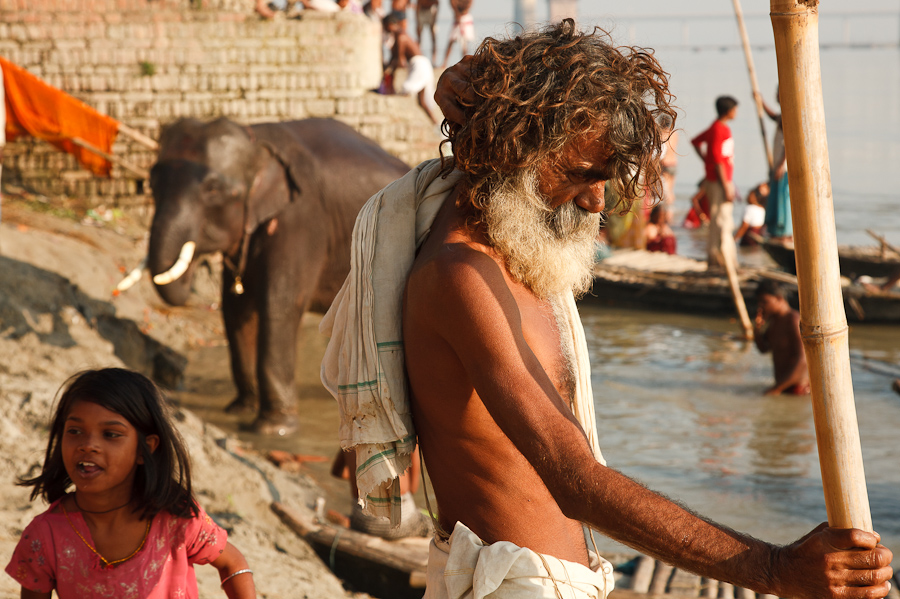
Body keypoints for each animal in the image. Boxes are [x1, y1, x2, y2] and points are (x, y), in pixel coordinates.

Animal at [148, 118, 412, 436]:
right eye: (151, 183)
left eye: (212, 190)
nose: (196, 272)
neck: (255, 140)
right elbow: (235, 307)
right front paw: (238, 410)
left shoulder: (301, 219)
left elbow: (279, 305)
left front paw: (272, 430)